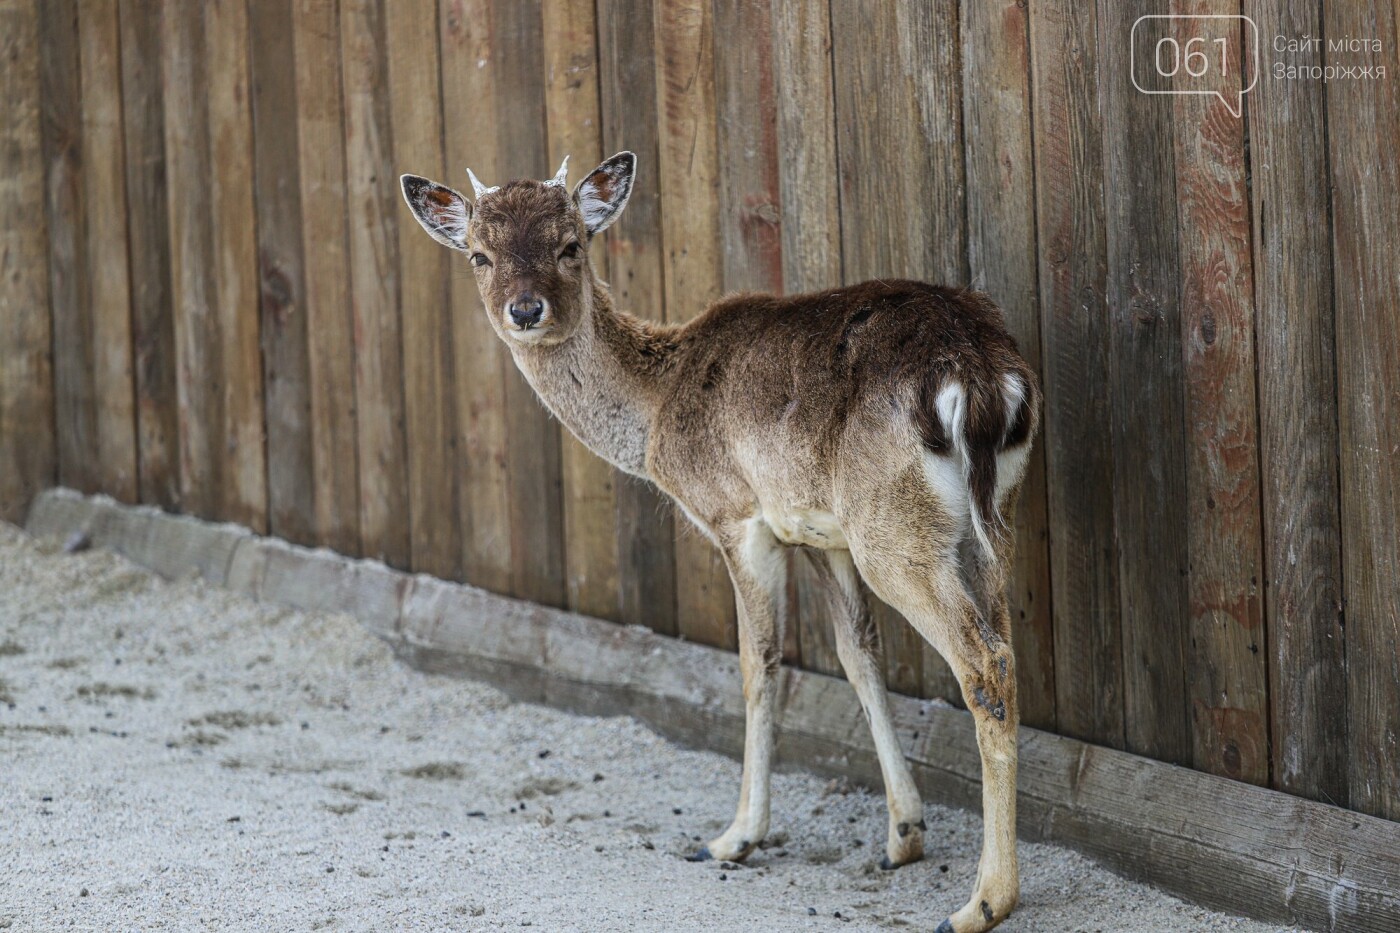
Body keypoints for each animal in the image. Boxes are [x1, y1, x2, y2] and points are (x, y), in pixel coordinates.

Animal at [400, 149, 1036, 924]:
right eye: (479, 254)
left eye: (570, 244)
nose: (526, 309)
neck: (655, 413)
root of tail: (980, 380)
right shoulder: (821, 533)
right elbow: (858, 655)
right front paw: (902, 835)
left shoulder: (737, 516)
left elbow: (757, 662)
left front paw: (733, 837)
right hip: (990, 518)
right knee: (1003, 644)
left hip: (895, 530)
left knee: (985, 663)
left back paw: (982, 902)